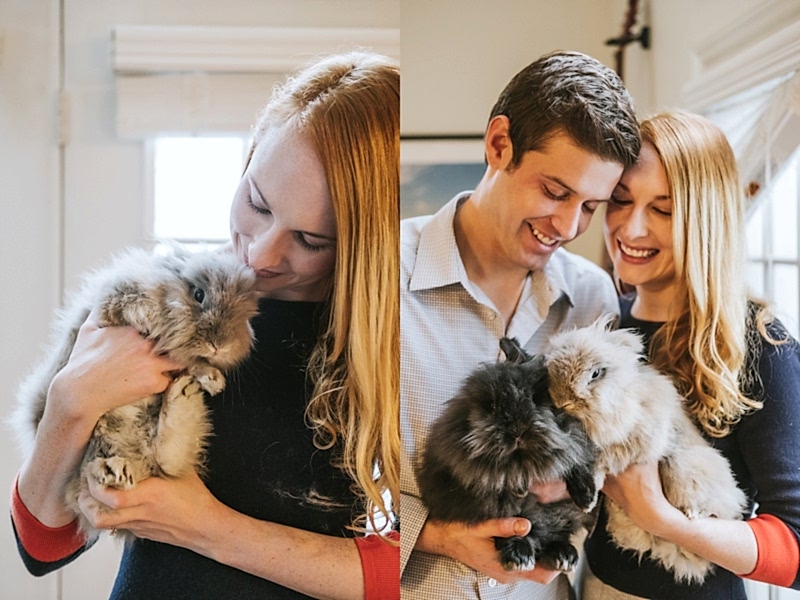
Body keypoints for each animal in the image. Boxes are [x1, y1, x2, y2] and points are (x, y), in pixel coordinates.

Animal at [10, 245, 260, 544]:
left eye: (247, 314)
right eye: (198, 294)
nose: (219, 345)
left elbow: (192, 364)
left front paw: (213, 380)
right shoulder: (111, 303)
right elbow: (128, 306)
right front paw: (147, 319)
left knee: (161, 460)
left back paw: (182, 398)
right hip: (97, 438)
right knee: (93, 482)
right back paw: (112, 471)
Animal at [416, 338, 596, 572]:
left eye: (536, 399)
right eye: (491, 406)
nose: (517, 431)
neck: (520, 464)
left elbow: (575, 462)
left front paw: (587, 498)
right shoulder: (493, 501)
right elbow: (515, 517)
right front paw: (519, 556)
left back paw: (565, 555)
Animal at [548, 316, 748, 584]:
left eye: (596, 373)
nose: (563, 402)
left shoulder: (635, 442)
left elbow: (601, 461)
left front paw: (588, 497)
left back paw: (694, 513)